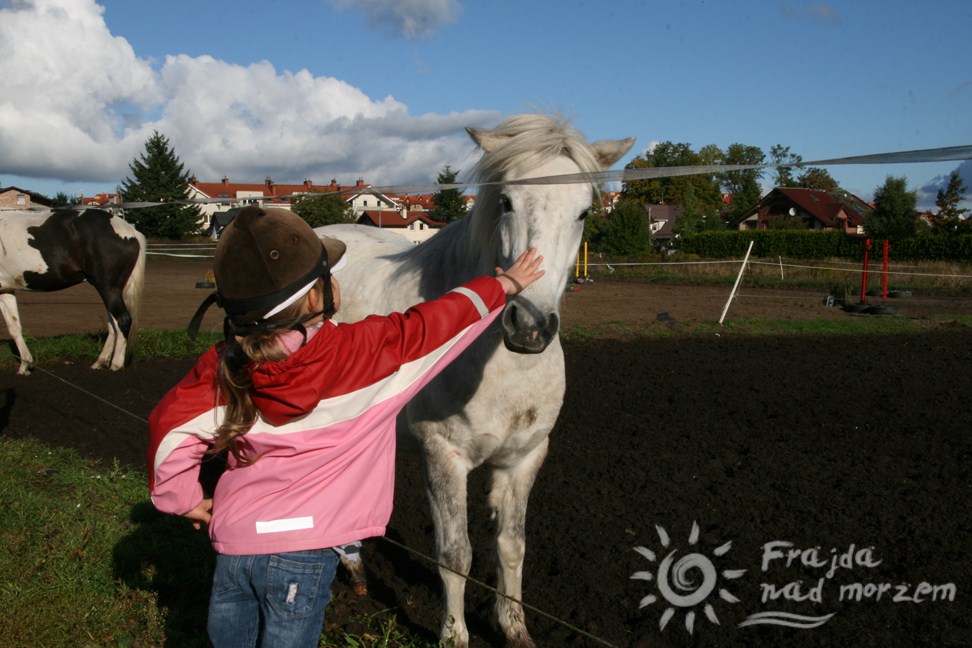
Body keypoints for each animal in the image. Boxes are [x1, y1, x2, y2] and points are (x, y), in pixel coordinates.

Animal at [0, 208, 146, 374]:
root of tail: (130, 231)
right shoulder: (6, 291)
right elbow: (15, 328)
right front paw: (25, 366)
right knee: (113, 324)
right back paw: (101, 362)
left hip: (108, 288)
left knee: (122, 320)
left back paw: (116, 364)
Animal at [320, 114, 636, 644]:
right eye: (506, 201)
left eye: (584, 212)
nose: (530, 326)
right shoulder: (442, 456)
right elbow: (455, 555)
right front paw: (454, 634)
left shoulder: (524, 458)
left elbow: (511, 546)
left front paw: (514, 628)